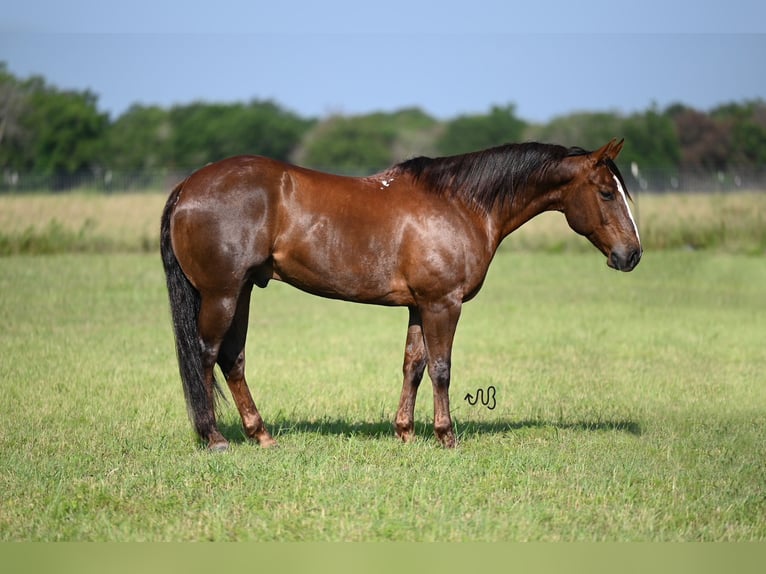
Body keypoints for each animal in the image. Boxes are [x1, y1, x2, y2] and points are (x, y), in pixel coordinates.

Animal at [160, 138, 640, 450]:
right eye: (606, 192)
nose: (632, 254)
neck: (460, 204)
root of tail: (187, 186)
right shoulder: (442, 304)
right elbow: (442, 368)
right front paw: (446, 436)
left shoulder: (418, 305)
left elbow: (414, 365)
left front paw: (405, 432)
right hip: (222, 294)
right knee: (206, 355)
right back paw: (214, 437)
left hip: (242, 292)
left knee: (232, 359)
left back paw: (260, 434)